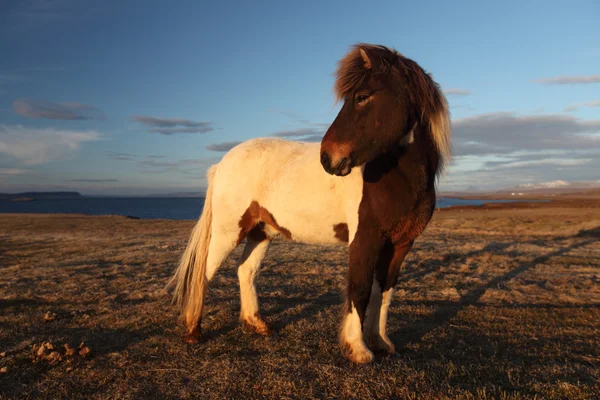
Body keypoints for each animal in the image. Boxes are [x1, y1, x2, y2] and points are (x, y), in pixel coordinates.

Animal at [168, 43, 450, 362]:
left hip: (260, 231)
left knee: (245, 271)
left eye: (362, 97)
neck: (394, 175)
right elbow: (360, 290)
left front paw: (381, 343)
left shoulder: (401, 244)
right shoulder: (365, 240)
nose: (327, 158)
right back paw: (193, 331)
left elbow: (384, 293)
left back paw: (257, 324)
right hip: (229, 231)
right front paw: (358, 349)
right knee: (202, 273)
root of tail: (222, 163)